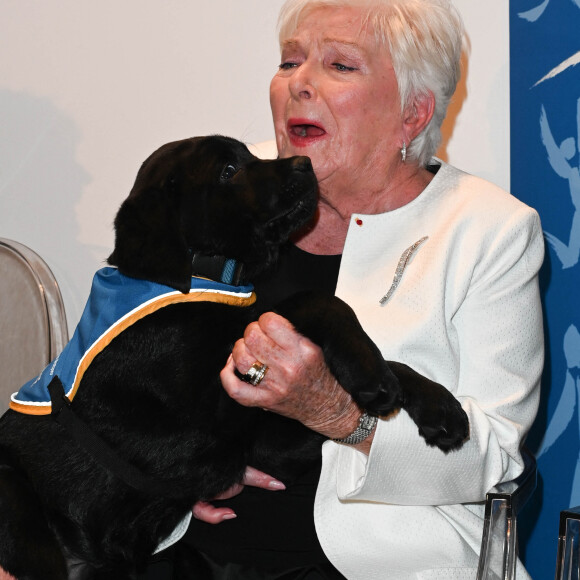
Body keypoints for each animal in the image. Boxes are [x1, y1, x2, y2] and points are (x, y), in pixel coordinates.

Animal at [0, 137, 466, 580]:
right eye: (228, 169)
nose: (305, 163)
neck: (202, 277)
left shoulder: (259, 443)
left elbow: (388, 362)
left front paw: (436, 404)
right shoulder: (212, 415)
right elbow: (309, 301)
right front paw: (369, 372)